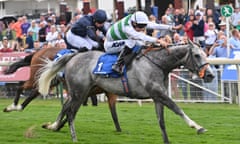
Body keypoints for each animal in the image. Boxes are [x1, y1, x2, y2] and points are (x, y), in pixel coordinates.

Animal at [38, 41, 216, 143]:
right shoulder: (159, 93)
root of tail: (73, 56)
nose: (210, 75)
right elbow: (177, 109)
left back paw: (53, 126)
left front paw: (167, 141)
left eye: (205, 54)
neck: (158, 63)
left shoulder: (157, 97)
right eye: (196, 55)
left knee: (66, 107)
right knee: (71, 113)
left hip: (84, 91)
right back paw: (73, 137)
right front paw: (197, 127)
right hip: (79, 92)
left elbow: (161, 122)